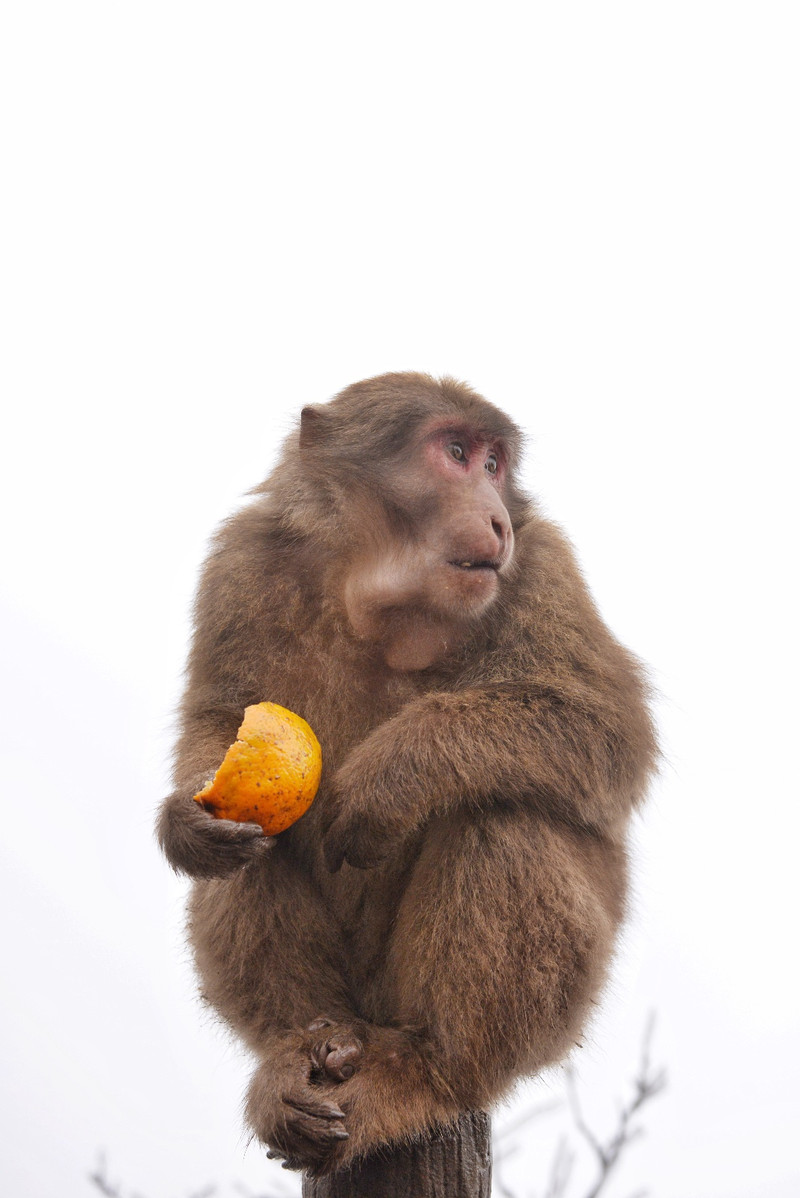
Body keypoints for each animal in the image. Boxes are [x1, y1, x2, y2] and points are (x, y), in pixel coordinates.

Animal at [154, 371, 656, 1169]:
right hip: (349, 1000)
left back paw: (426, 1068)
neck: (382, 596)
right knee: (251, 850)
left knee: (504, 815)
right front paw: (184, 820)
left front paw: (393, 774)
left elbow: (605, 727)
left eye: (494, 464)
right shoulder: (240, 562)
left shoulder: (544, 563)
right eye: (455, 453)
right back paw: (298, 1051)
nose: (496, 518)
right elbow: (221, 717)